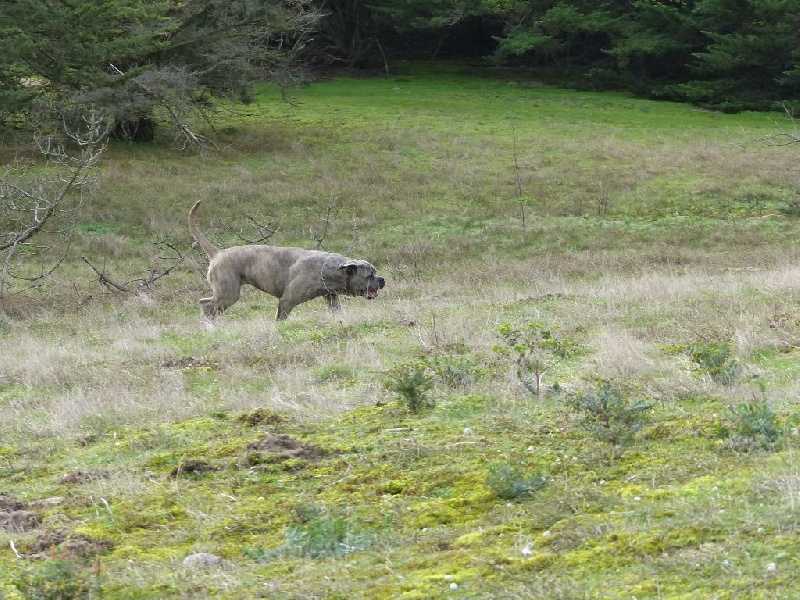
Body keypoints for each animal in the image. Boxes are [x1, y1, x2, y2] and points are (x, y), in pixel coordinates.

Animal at [189, 202, 386, 322]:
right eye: (369, 275)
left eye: (375, 272)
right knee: (207, 305)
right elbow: (280, 319)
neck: (329, 269)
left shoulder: (331, 298)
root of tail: (217, 253)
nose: (383, 279)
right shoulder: (286, 301)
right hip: (228, 293)